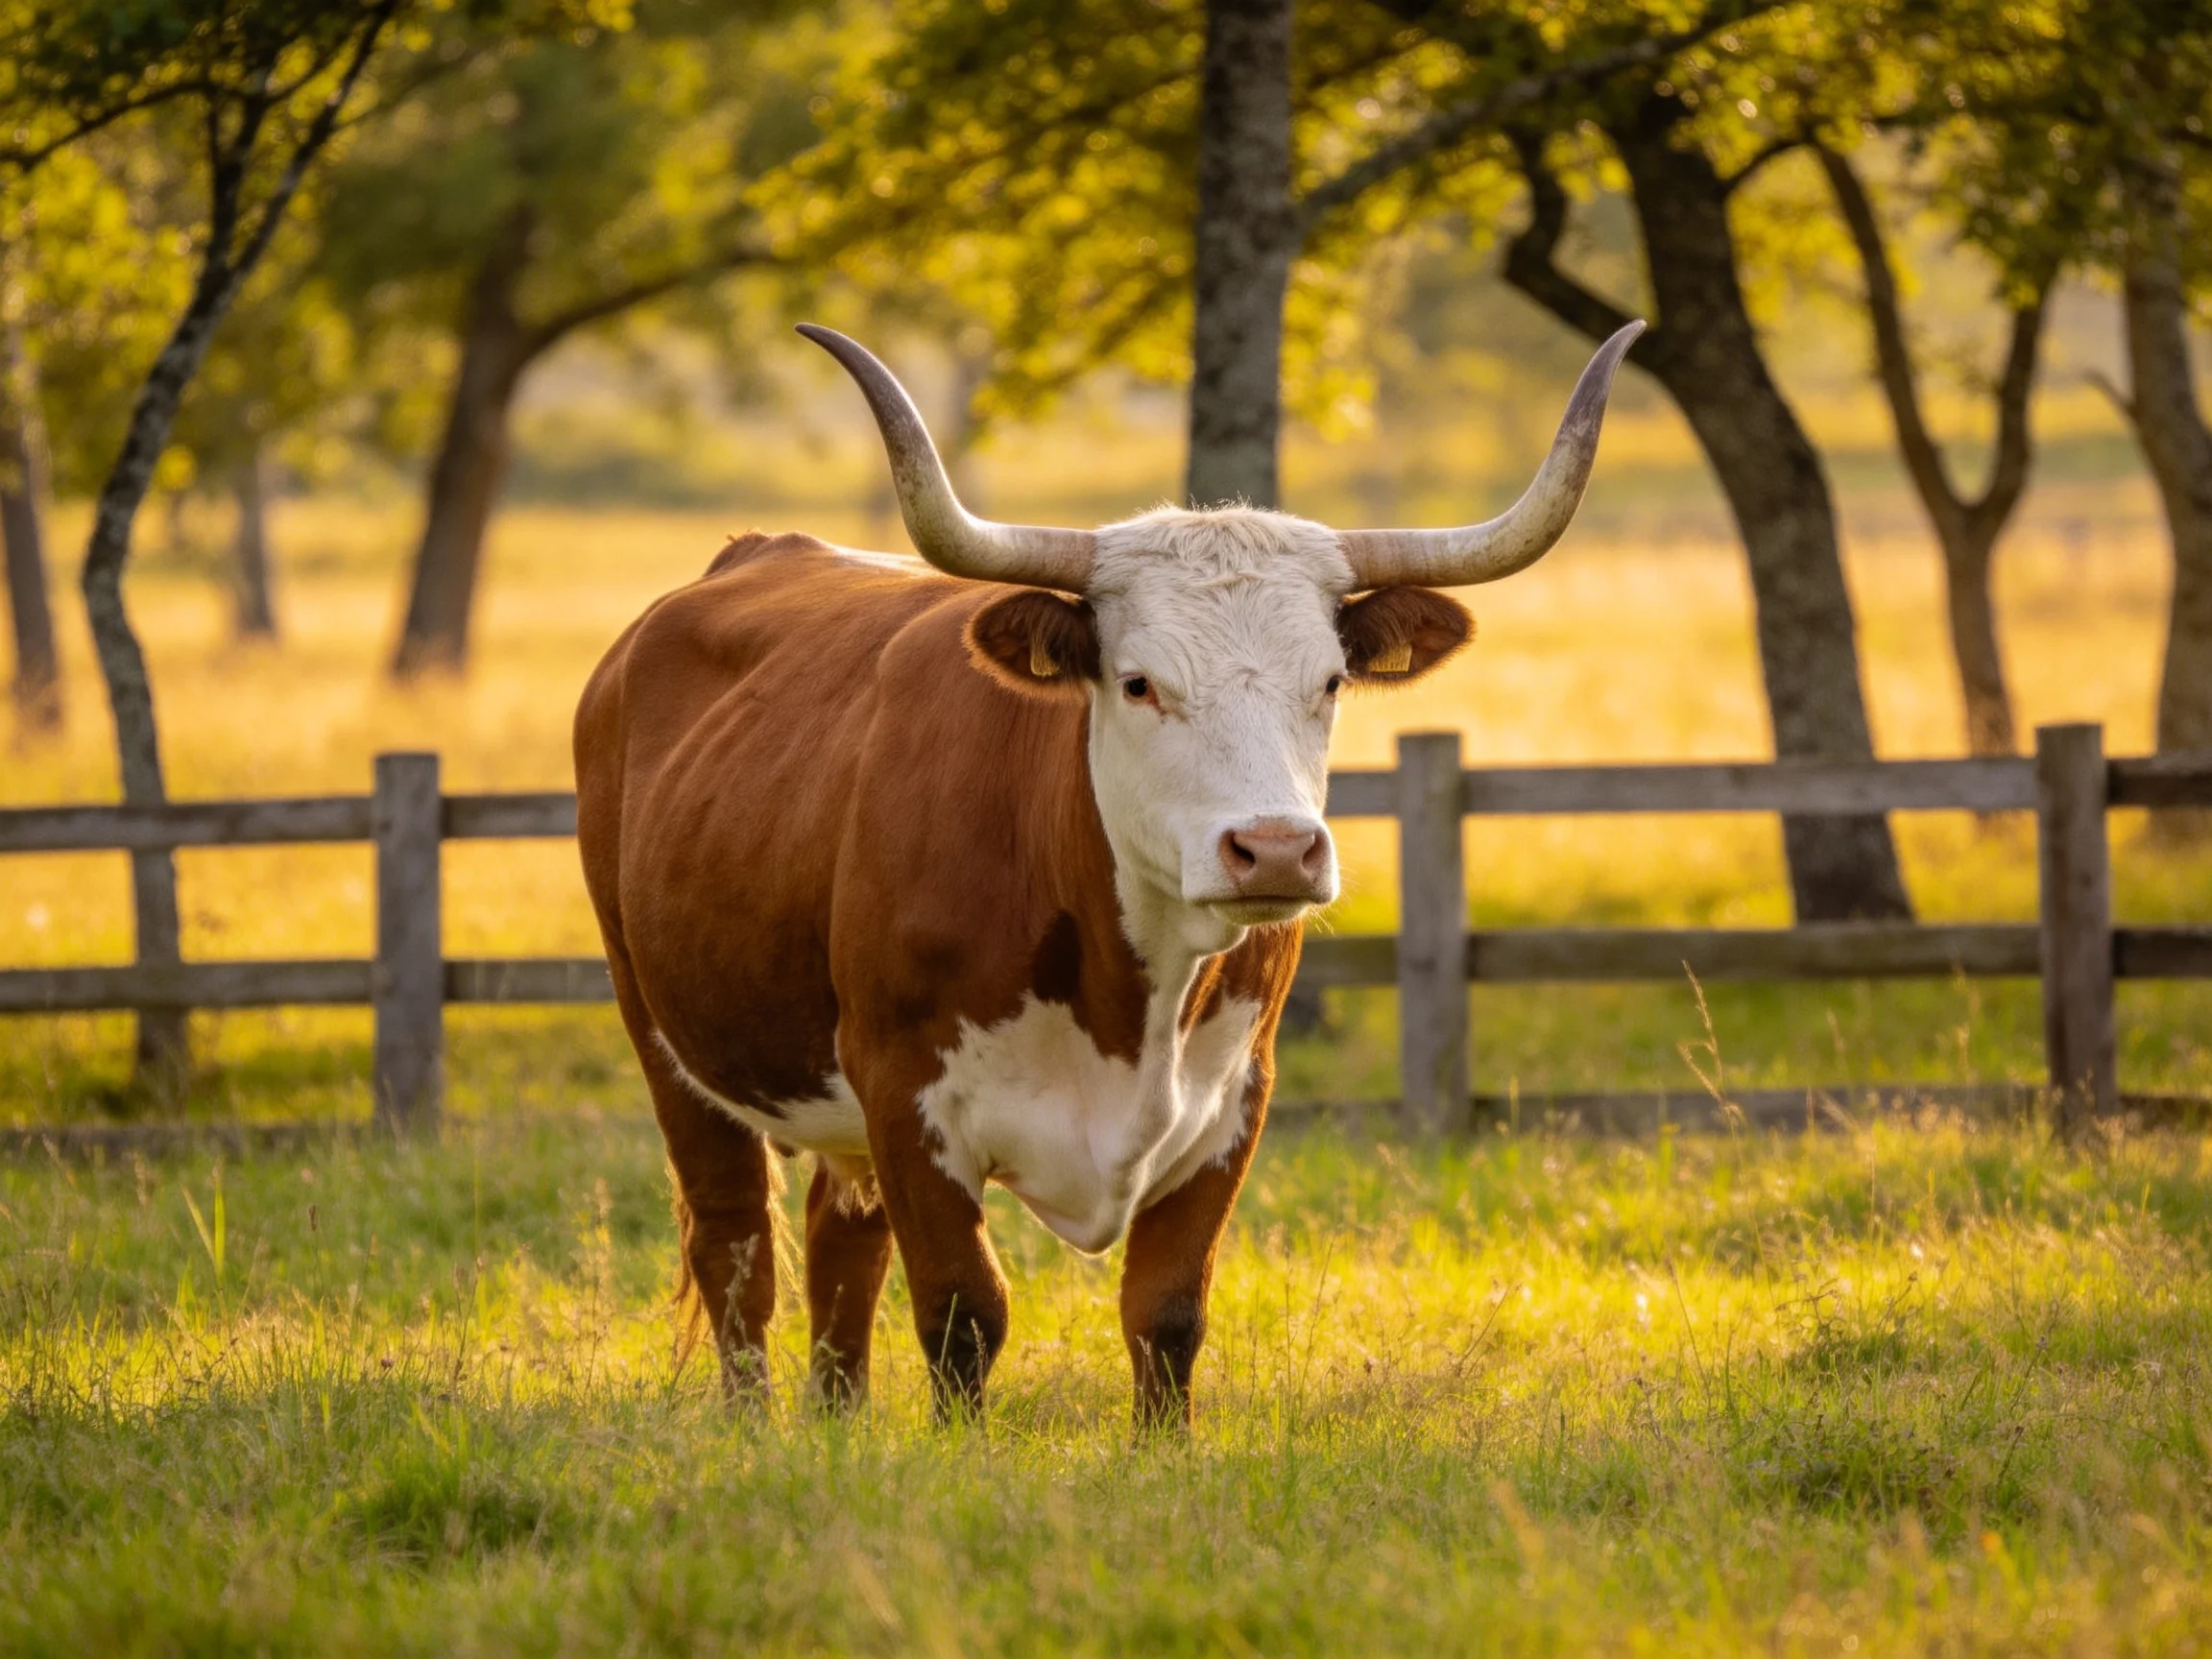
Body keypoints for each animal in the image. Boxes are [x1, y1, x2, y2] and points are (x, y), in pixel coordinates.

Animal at [574, 319, 1642, 1425]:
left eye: (1332, 681)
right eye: (1138, 684)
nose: (1275, 848)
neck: (1130, 994)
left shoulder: (1231, 1104)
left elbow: (1166, 1314)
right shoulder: (907, 1095)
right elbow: (963, 1313)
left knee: (840, 1235)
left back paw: (837, 1423)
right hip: (665, 1035)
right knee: (734, 1244)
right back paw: (754, 1427)